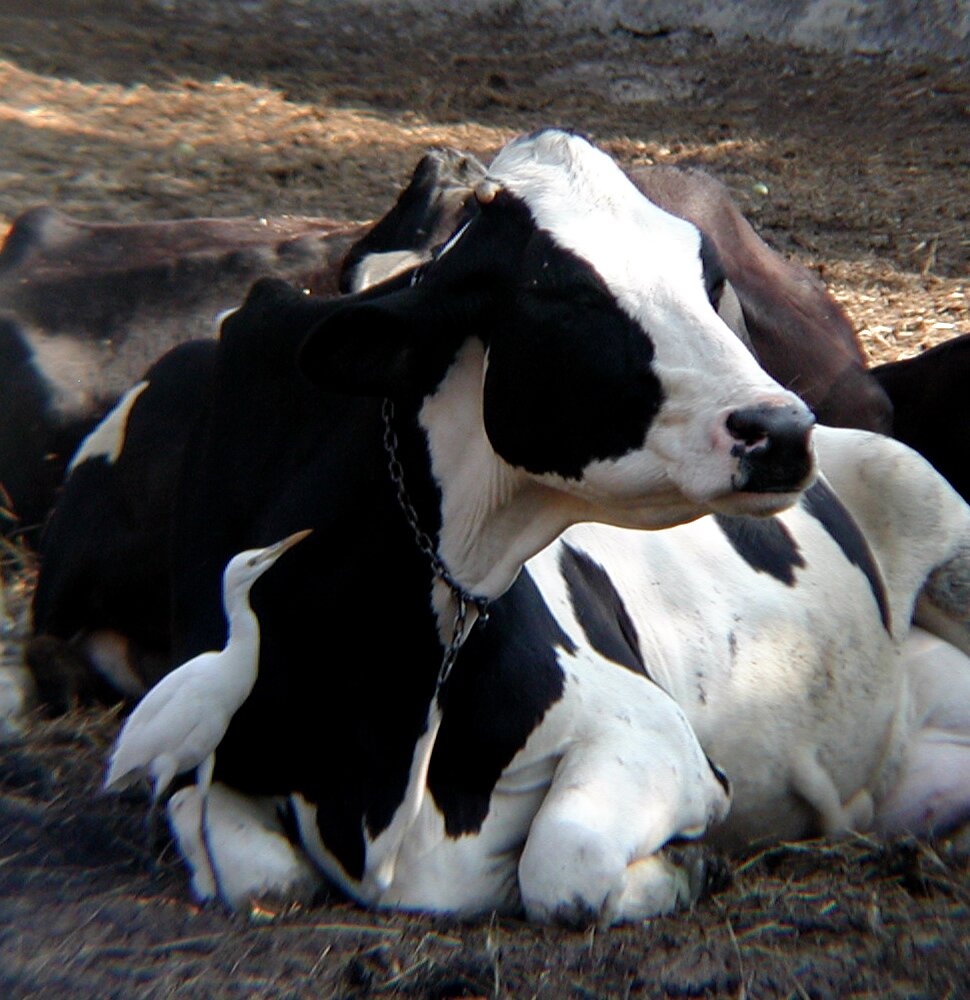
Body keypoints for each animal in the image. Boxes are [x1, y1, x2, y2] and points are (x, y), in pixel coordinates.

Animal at [28, 131, 968, 920]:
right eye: (562, 289)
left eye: (709, 281)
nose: (779, 429)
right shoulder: (190, 725)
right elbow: (258, 872)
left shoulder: (649, 731)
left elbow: (564, 867)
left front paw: (686, 866)